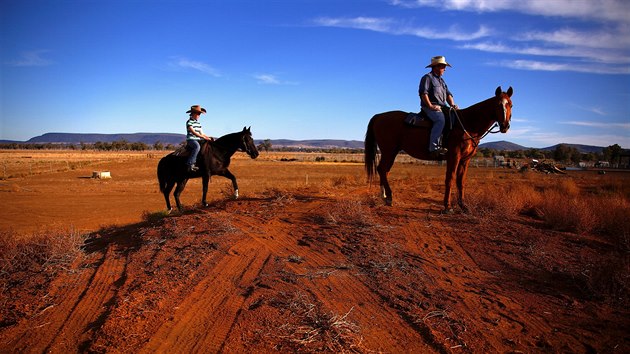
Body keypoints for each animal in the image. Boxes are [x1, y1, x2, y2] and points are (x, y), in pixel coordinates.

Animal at [366, 87, 512, 212]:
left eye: (510, 104)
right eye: (498, 104)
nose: (505, 126)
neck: (467, 124)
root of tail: (379, 116)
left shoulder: (465, 160)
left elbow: (461, 181)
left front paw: (463, 205)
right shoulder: (454, 156)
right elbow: (450, 179)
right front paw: (447, 206)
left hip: (391, 152)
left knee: (384, 170)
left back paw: (384, 196)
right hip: (389, 151)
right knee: (382, 169)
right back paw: (389, 197)